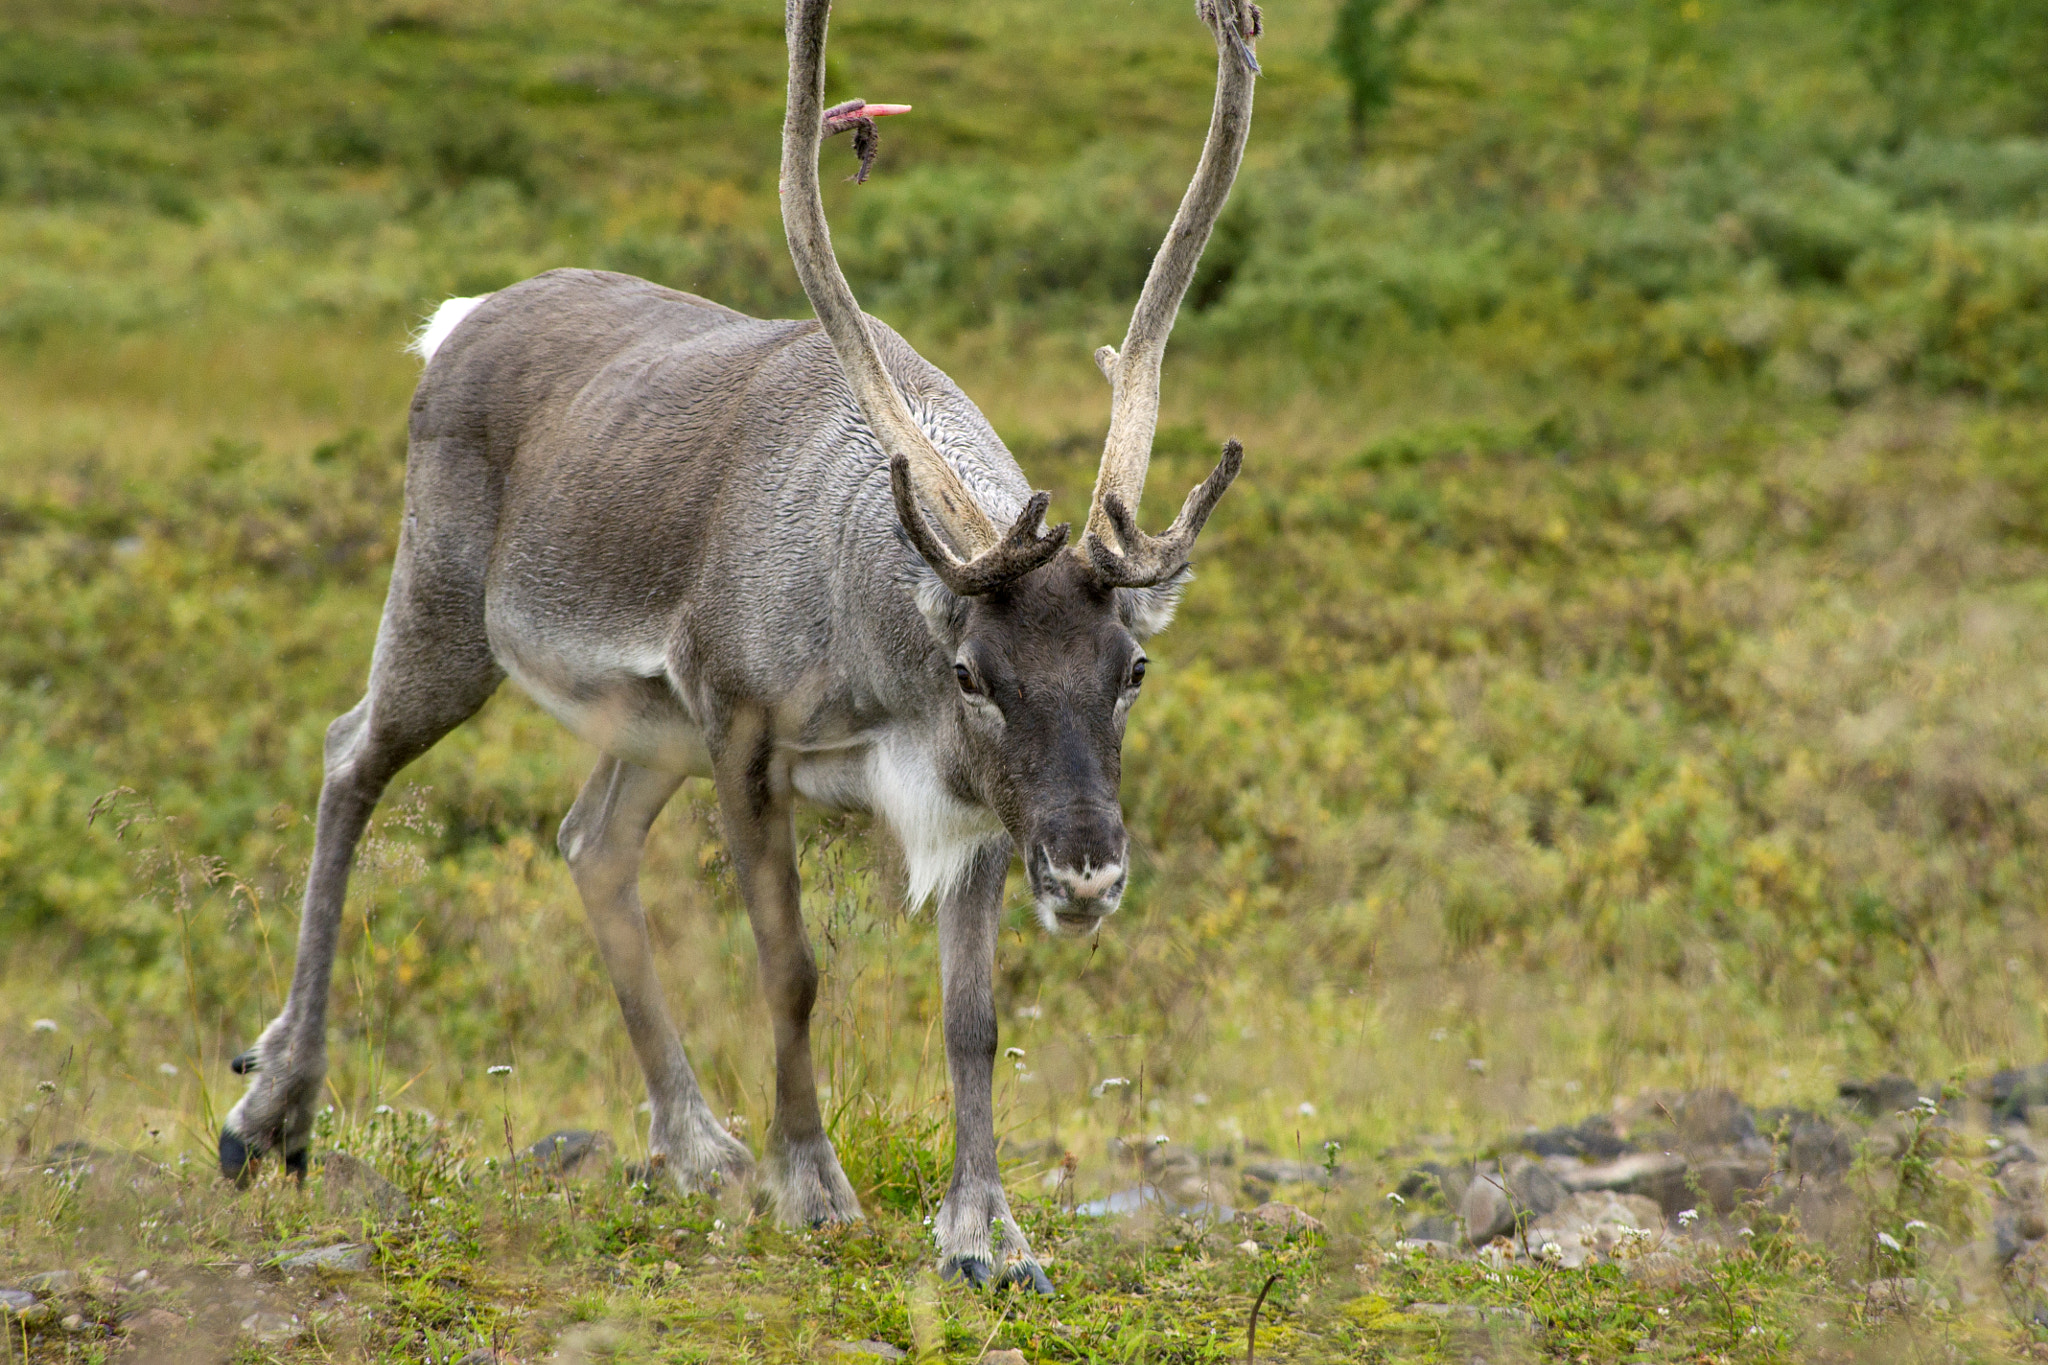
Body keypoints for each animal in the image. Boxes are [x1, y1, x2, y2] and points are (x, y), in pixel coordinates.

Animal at [216, 0, 1258, 1291]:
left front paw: (986, 1230)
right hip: (448, 612)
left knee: (589, 843)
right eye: (974, 674)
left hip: (646, 724)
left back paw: (696, 1143)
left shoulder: (968, 801)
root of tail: (459, 322)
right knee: (349, 757)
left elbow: (972, 1018)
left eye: (1132, 671)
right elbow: (790, 968)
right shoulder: (748, 736)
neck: (882, 648)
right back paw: (272, 1112)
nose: (1085, 876)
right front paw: (809, 1183)